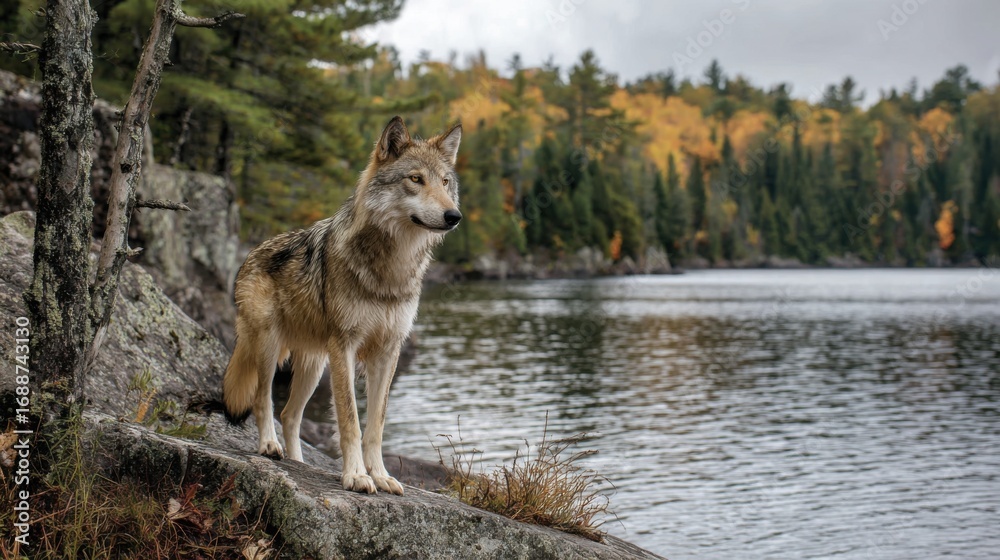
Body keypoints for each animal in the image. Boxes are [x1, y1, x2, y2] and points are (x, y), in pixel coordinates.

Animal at [222, 116, 461, 495]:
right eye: (415, 179)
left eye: (445, 182)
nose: (454, 216)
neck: (391, 270)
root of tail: (251, 253)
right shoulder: (344, 347)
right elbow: (350, 420)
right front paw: (356, 476)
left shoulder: (388, 352)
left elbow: (376, 424)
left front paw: (381, 475)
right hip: (271, 348)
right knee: (263, 400)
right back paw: (269, 446)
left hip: (314, 366)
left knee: (290, 415)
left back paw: (299, 463)